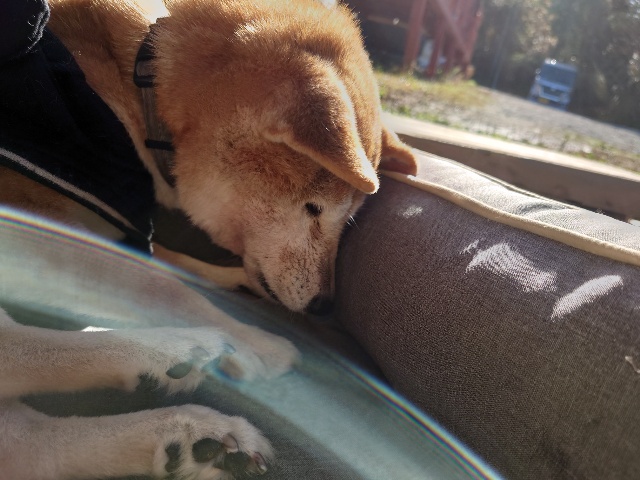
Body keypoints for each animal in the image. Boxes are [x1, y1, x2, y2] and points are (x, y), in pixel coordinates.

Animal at [0, 0, 417, 478]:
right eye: (315, 209)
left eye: (349, 218)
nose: (325, 306)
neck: (136, 91)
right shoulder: (37, 220)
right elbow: (160, 283)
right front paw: (252, 340)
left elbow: (168, 262)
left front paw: (228, 277)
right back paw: (176, 352)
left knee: (28, 444)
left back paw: (190, 433)